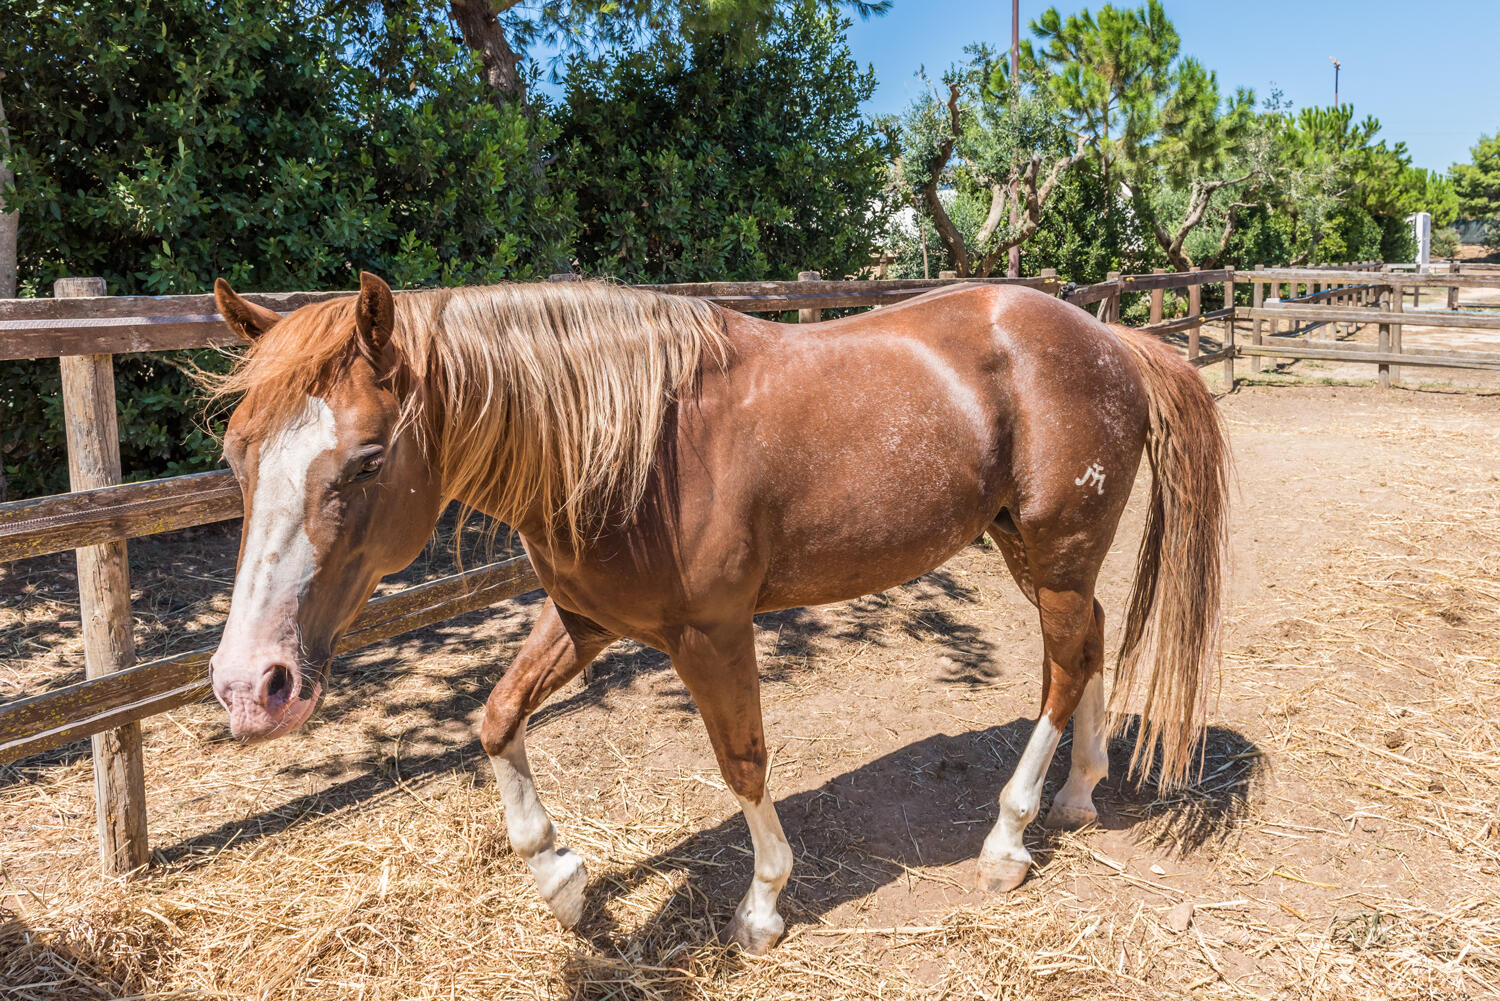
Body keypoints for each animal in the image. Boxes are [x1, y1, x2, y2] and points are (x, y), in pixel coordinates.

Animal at [205, 271, 1224, 954]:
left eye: (369, 459)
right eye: (236, 451)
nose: (252, 685)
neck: (634, 445)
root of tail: (1109, 338)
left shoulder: (712, 635)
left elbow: (743, 761)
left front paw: (763, 905)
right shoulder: (585, 618)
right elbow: (496, 718)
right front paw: (562, 878)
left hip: (1056, 553)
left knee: (1062, 666)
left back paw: (1009, 836)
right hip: (1035, 552)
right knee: (1091, 643)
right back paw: (1081, 791)